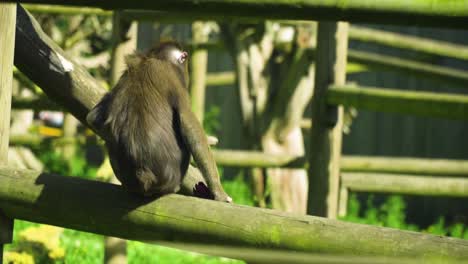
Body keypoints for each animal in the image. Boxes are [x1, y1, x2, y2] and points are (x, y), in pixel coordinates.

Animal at [86, 41, 232, 203]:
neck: (152, 59)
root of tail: (144, 177)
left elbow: (93, 118)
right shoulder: (174, 80)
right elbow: (192, 130)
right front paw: (219, 193)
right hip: (173, 175)